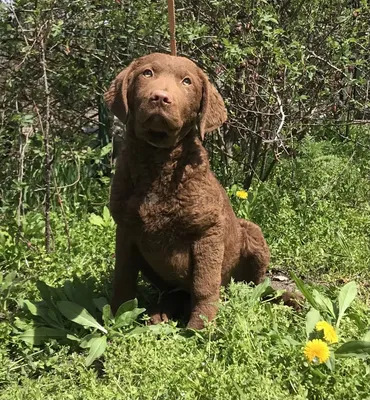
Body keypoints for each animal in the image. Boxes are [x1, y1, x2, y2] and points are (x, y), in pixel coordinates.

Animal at [104, 52, 272, 328]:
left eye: (187, 82)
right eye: (147, 73)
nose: (160, 97)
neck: (158, 162)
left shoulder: (209, 232)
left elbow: (204, 284)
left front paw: (200, 326)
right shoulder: (126, 230)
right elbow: (123, 279)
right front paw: (116, 318)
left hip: (252, 233)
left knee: (252, 286)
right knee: (177, 293)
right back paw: (161, 313)